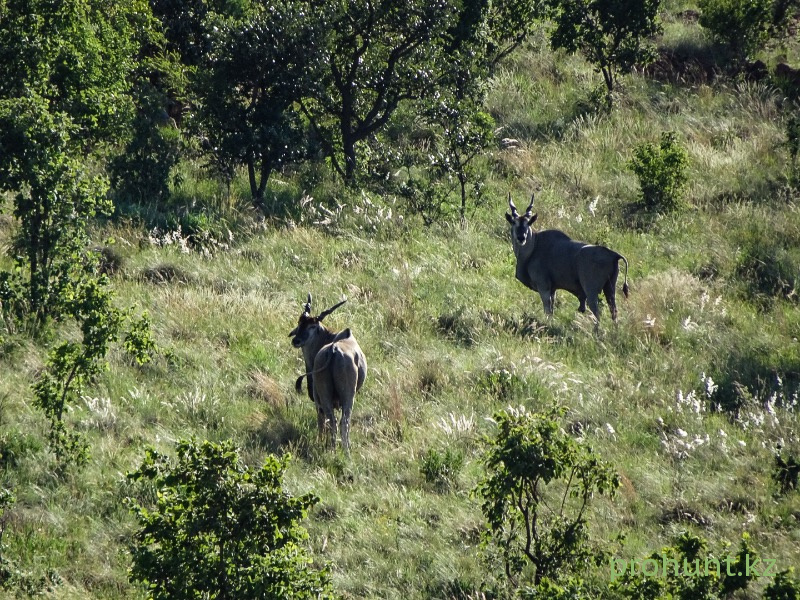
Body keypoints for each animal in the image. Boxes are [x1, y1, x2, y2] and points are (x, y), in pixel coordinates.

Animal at [290, 292, 368, 448]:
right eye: (299, 323)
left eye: (312, 326)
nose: (296, 340)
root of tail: (334, 349)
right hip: (347, 395)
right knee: (341, 421)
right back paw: (340, 449)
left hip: (328, 395)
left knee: (333, 420)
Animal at [506, 192, 632, 324]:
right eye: (514, 222)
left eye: (528, 223)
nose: (521, 237)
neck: (535, 245)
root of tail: (614, 255)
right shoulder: (552, 289)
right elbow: (551, 310)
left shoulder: (543, 287)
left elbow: (547, 310)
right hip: (609, 289)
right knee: (614, 312)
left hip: (591, 291)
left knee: (597, 313)